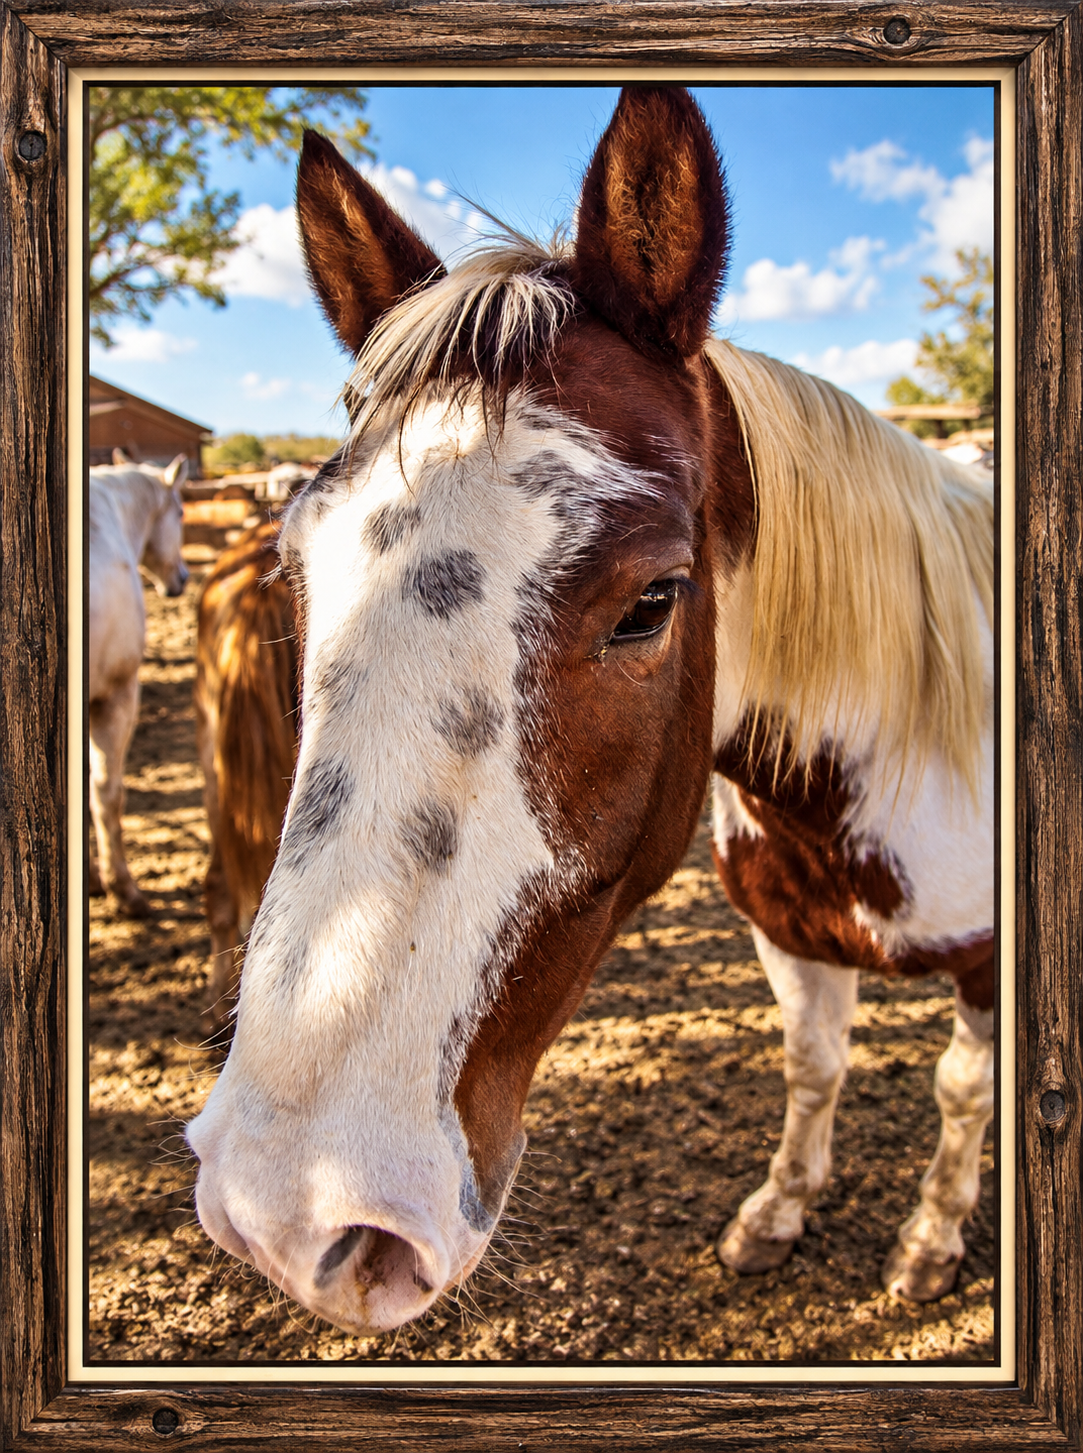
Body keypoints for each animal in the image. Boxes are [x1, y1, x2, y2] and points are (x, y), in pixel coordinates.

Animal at [186, 87, 994, 1337]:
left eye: (652, 601)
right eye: (295, 567)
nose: (294, 1204)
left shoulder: (993, 975)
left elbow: (959, 1093)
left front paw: (929, 1238)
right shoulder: (786, 938)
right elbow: (814, 1065)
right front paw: (779, 1210)